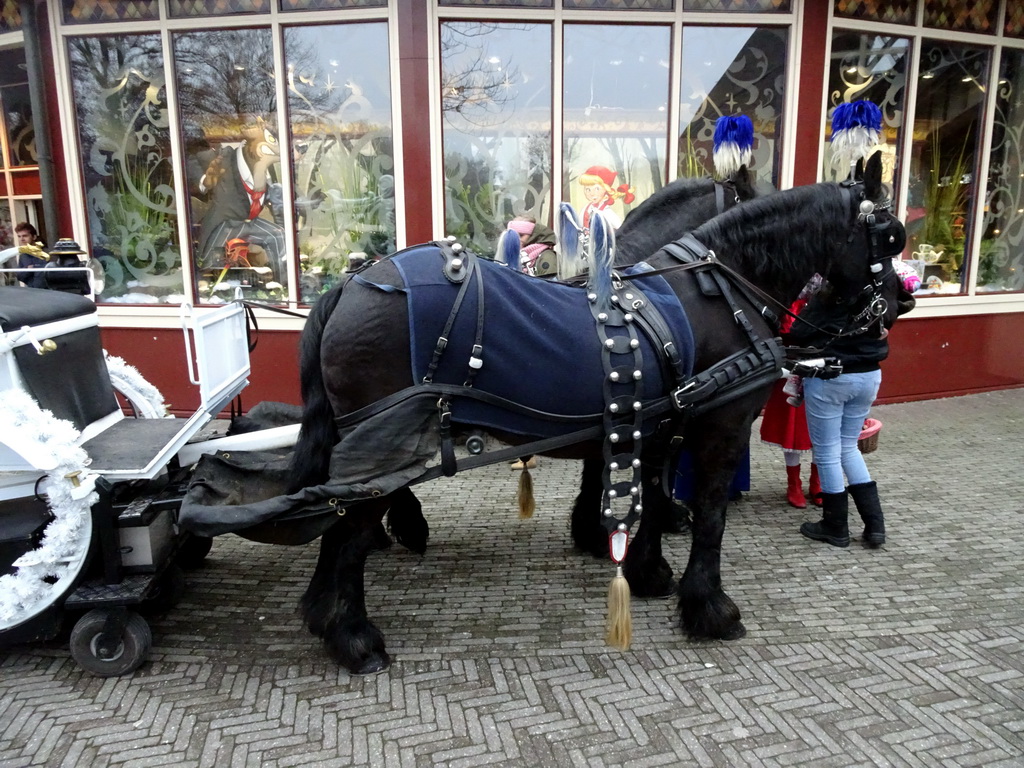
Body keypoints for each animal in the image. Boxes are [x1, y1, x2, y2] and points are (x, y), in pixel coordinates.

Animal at [286, 151, 897, 671]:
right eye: (890, 238)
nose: (897, 305)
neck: (721, 290)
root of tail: (352, 284)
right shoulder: (720, 429)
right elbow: (710, 516)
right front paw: (709, 607)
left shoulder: (656, 422)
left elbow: (646, 493)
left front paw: (646, 568)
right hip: (379, 452)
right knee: (348, 536)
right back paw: (355, 637)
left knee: (334, 526)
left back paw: (324, 612)